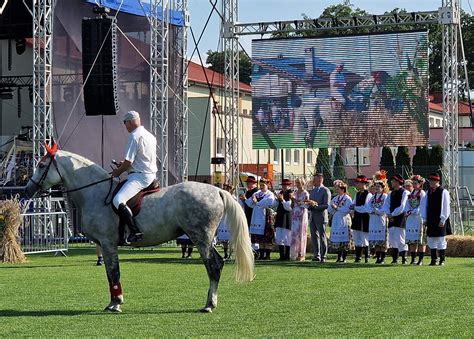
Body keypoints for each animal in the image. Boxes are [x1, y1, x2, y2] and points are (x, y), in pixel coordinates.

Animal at [25, 147, 256, 314]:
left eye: (42, 165)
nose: (28, 189)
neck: (95, 193)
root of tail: (217, 190)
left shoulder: (108, 243)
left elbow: (114, 272)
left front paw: (116, 304)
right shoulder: (103, 245)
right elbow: (109, 274)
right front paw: (113, 302)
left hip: (201, 237)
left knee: (213, 266)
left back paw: (209, 304)